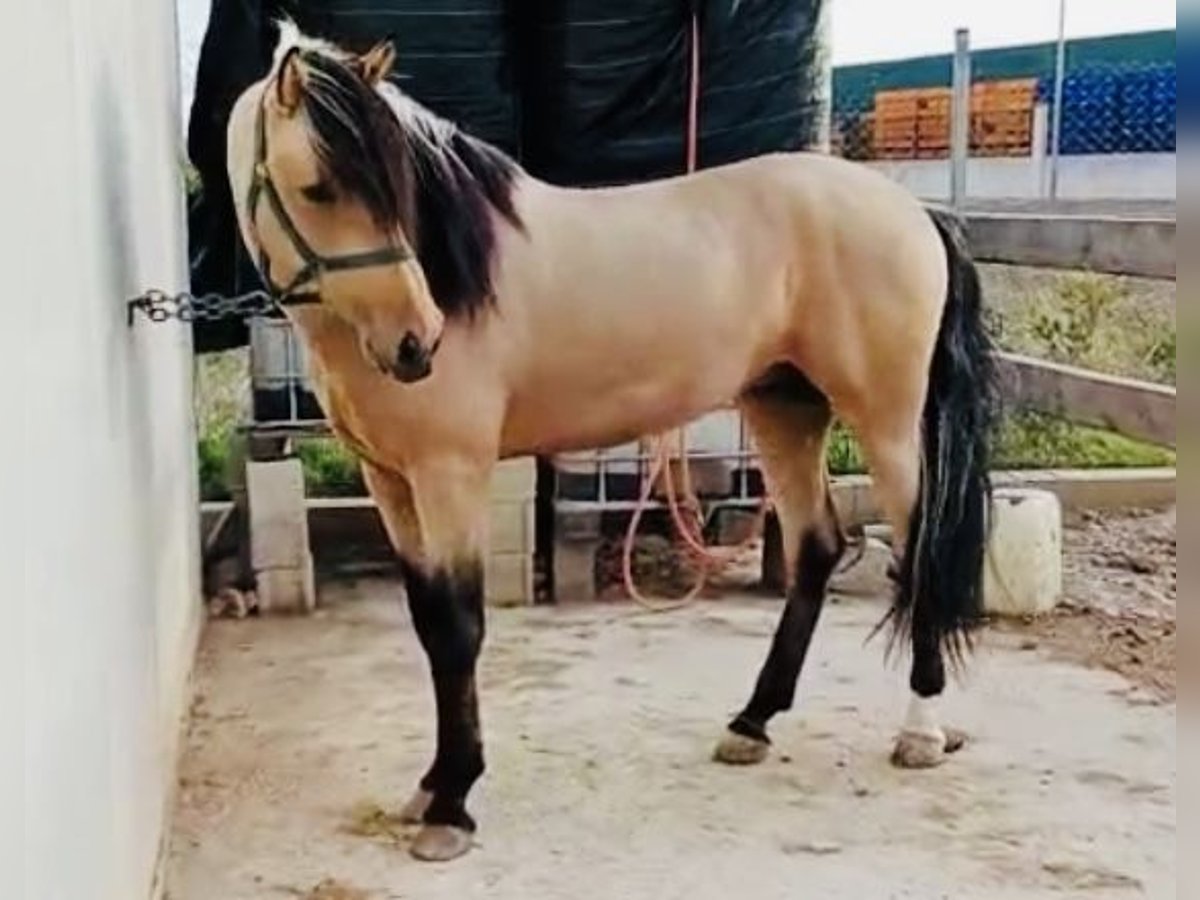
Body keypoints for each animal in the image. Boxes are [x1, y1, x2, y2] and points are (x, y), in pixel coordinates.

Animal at [226, 24, 1003, 864]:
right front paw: (430, 788)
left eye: (395, 187)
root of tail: (914, 210)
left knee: (918, 549)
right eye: (318, 189)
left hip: (885, 420)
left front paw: (453, 806)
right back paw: (752, 722)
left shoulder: (450, 475)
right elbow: (431, 623)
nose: (415, 343)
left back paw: (921, 731)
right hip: (784, 410)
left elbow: (461, 628)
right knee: (817, 547)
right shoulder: (390, 481)